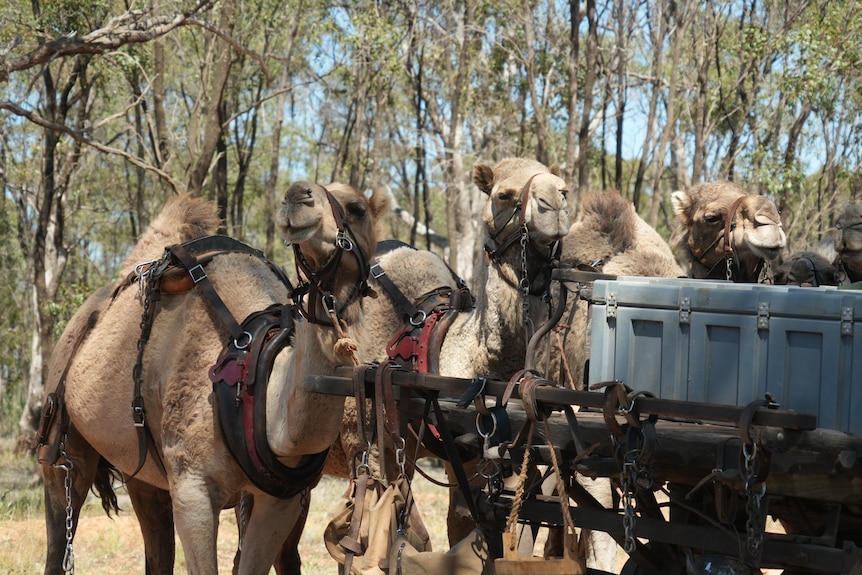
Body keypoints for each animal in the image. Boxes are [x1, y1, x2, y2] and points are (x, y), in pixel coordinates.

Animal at [39, 182, 387, 575]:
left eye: (357, 208)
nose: (298, 195)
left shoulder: (280, 501)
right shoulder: (193, 489)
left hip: (140, 469)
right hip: (62, 445)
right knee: (60, 525)